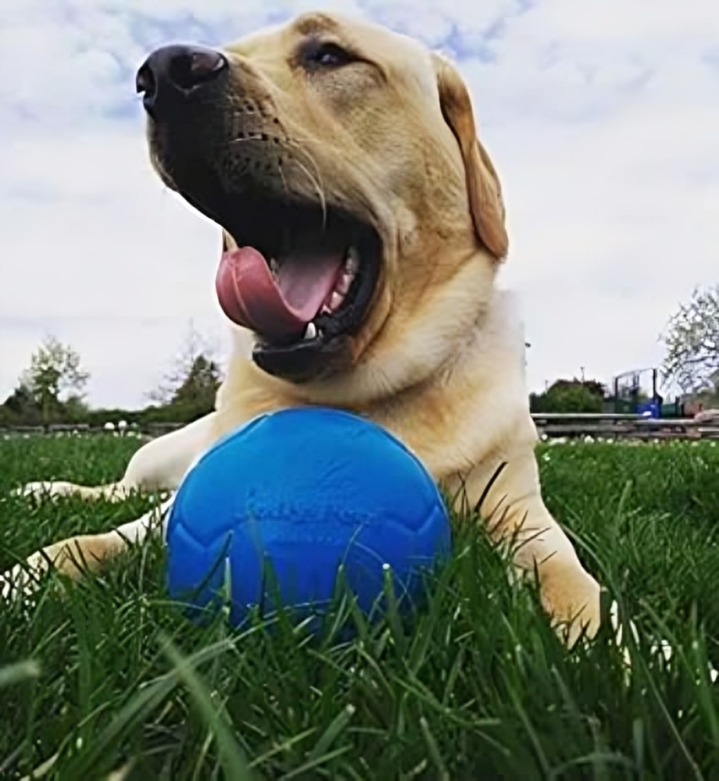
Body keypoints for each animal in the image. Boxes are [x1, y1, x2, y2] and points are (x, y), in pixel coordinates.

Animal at [4, 10, 600, 644]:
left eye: (328, 55)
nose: (162, 72)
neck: (362, 396)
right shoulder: (169, 510)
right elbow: (91, 542)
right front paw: (27, 576)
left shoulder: (519, 508)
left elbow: (566, 575)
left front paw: (600, 644)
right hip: (162, 456)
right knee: (117, 489)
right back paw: (48, 491)